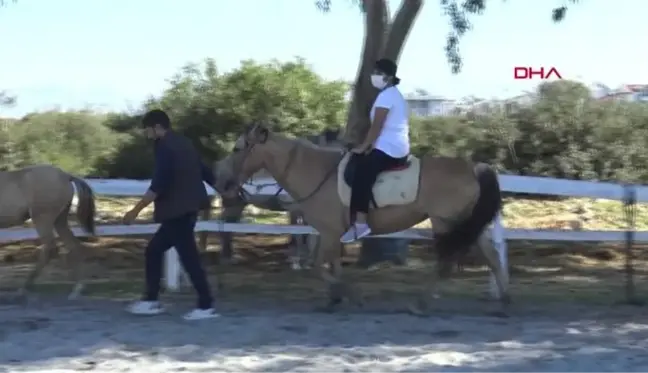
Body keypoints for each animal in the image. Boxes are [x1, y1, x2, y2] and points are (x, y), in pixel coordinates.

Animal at [0, 164, 95, 298]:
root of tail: (65, 176)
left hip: (42, 218)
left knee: (49, 248)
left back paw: (24, 288)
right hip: (60, 220)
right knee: (73, 245)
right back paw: (76, 290)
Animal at [218, 123, 512, 312]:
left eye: (237, 148)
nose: (224, 183)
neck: (317, 171)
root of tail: (474, 167)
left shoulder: (329, 232)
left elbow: (319, 267)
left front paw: (347, 295)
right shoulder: (330, 233)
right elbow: (331, 265)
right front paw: (337, 297)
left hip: (445, 222)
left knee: (448, 262)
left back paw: (421, 303)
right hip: (467, 224)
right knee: (491, 258)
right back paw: (504, 303)